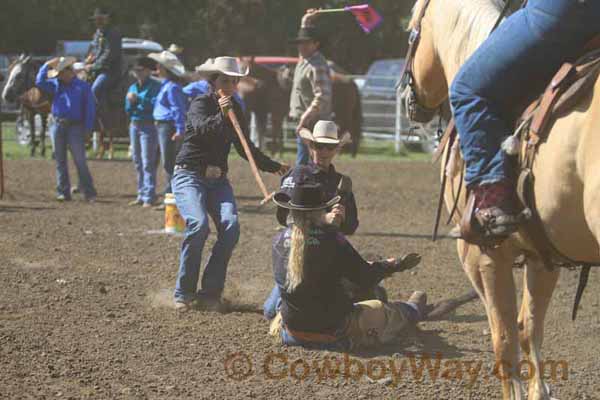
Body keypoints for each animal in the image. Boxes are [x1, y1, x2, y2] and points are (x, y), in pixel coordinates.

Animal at [400, 0, 600, 400]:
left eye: (412, 31)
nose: (408, 102)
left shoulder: (482, 253)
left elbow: (504, 342)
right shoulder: (543, 254)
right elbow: (529, 329)